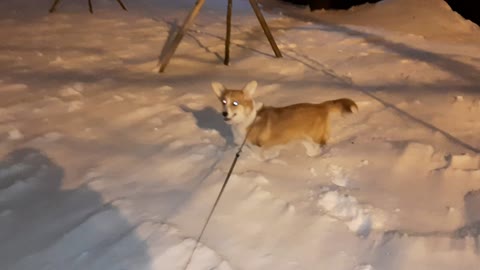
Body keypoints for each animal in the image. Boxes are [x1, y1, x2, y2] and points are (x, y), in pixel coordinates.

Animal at [212, 80, 358, 151]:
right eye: (223, 102)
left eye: (235, 103)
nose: (224, 113)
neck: (246, 120)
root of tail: (321, 105)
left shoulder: (259, 148)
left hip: (316, 137)